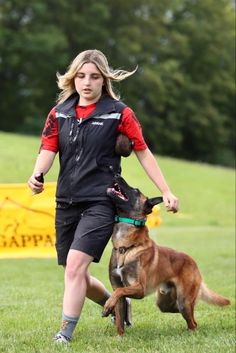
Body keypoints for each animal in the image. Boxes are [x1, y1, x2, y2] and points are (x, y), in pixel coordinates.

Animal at [102, 175, 230, 334]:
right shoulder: (118, 288)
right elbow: (119, 313)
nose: (117, 175)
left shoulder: (139, 289)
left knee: (192, 320)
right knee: (186, 314)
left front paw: (107, 306)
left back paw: (191, 333)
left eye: (135, 190)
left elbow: (119, 292)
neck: (125, 248)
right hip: (164, 302)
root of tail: (193, 262)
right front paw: (119, 335)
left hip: (183, 301)